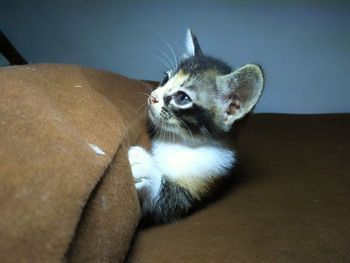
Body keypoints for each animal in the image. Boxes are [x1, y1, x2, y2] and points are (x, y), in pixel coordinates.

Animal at [128, 29, 262, 225]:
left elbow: (167, 203)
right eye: (165, 78)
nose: (153, 96)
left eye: (182, 98)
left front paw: (145, 167)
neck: (181, 142)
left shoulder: (207, 180)